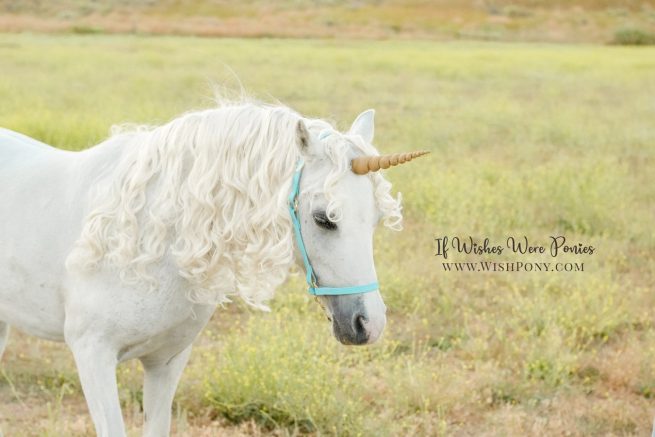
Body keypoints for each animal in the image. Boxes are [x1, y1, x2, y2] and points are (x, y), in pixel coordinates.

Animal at [0, 99, 427, 436]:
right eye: (324, 219)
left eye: (375, 220)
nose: (368, 324)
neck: (145, 239)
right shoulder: (93, 357)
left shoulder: (166, 361)